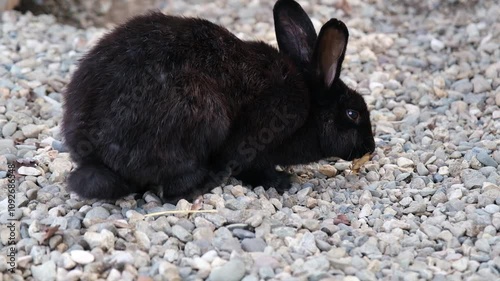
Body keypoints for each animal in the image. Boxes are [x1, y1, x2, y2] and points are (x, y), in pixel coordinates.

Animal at [61, 0, 376, 201]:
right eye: (353, 114)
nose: (370, 148)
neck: (310, 107)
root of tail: (94, 157)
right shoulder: (256, 136)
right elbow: (250, 164)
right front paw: (279, 182)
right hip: (204, 119)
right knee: (174, 191)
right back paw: (208, 183)